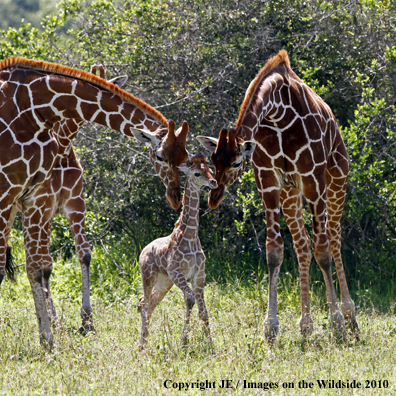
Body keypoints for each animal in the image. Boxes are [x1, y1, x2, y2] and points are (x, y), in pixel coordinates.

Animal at [0, 55, 189, 344]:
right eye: (160, 156)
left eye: (185, 157)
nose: (174, 198)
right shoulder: (25, 195)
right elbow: (35, 266)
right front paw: (55, 330)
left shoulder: (62, 202)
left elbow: (67, 259)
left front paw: (81, 322)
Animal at [139, 155, 218, 346]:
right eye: (197, 173)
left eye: (210, 170)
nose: (213, 182)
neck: (190, 237)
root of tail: (142, 251)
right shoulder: (177, 272)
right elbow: (189, 299)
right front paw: (184, 341)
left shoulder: (199, 275)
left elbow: (203, 311)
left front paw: (210, 343)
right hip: (149, 276)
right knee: (144, 303)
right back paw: (142, 344)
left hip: (164, 281)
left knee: (148, 302)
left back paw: (144, 340)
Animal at [200, 48, 358, 340]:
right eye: (212, 159)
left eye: (237, 163)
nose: (213, 198)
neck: (279, 114)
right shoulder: (269, 180)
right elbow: (273, 251)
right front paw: (271, 327)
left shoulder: (313, 177)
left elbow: (323, 250)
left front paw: (336, 321)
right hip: (291, 191)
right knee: (302, 243)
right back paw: (306, 324)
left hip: (336, 177)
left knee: (333, 236)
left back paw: (349, 316)